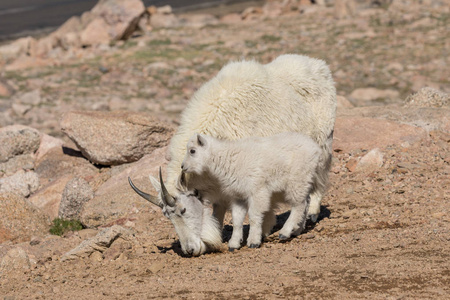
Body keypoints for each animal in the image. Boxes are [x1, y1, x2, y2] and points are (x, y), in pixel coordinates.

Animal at [128, 54, 336, 255]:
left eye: (183, 209)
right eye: (167, 216)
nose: (190, 250)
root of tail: (319, 65)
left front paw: (260, 233)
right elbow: (221, 209)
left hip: (323, 143)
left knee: (316, 183)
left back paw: (308, 218)